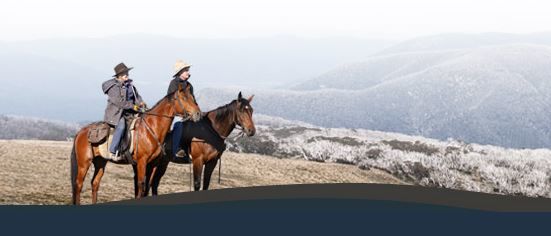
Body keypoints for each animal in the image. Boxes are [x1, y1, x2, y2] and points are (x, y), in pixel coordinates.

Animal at [70, 83, 202, 205]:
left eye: (192, 96)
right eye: (184, 98)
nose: (198, 114)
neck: (151, 129)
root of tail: (81, 132)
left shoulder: (153, 164)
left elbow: (147, 186)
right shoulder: (141, 162)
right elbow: (141, 185)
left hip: (100, 162)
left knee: (95, 183)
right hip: (84, 163)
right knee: (79, 184)